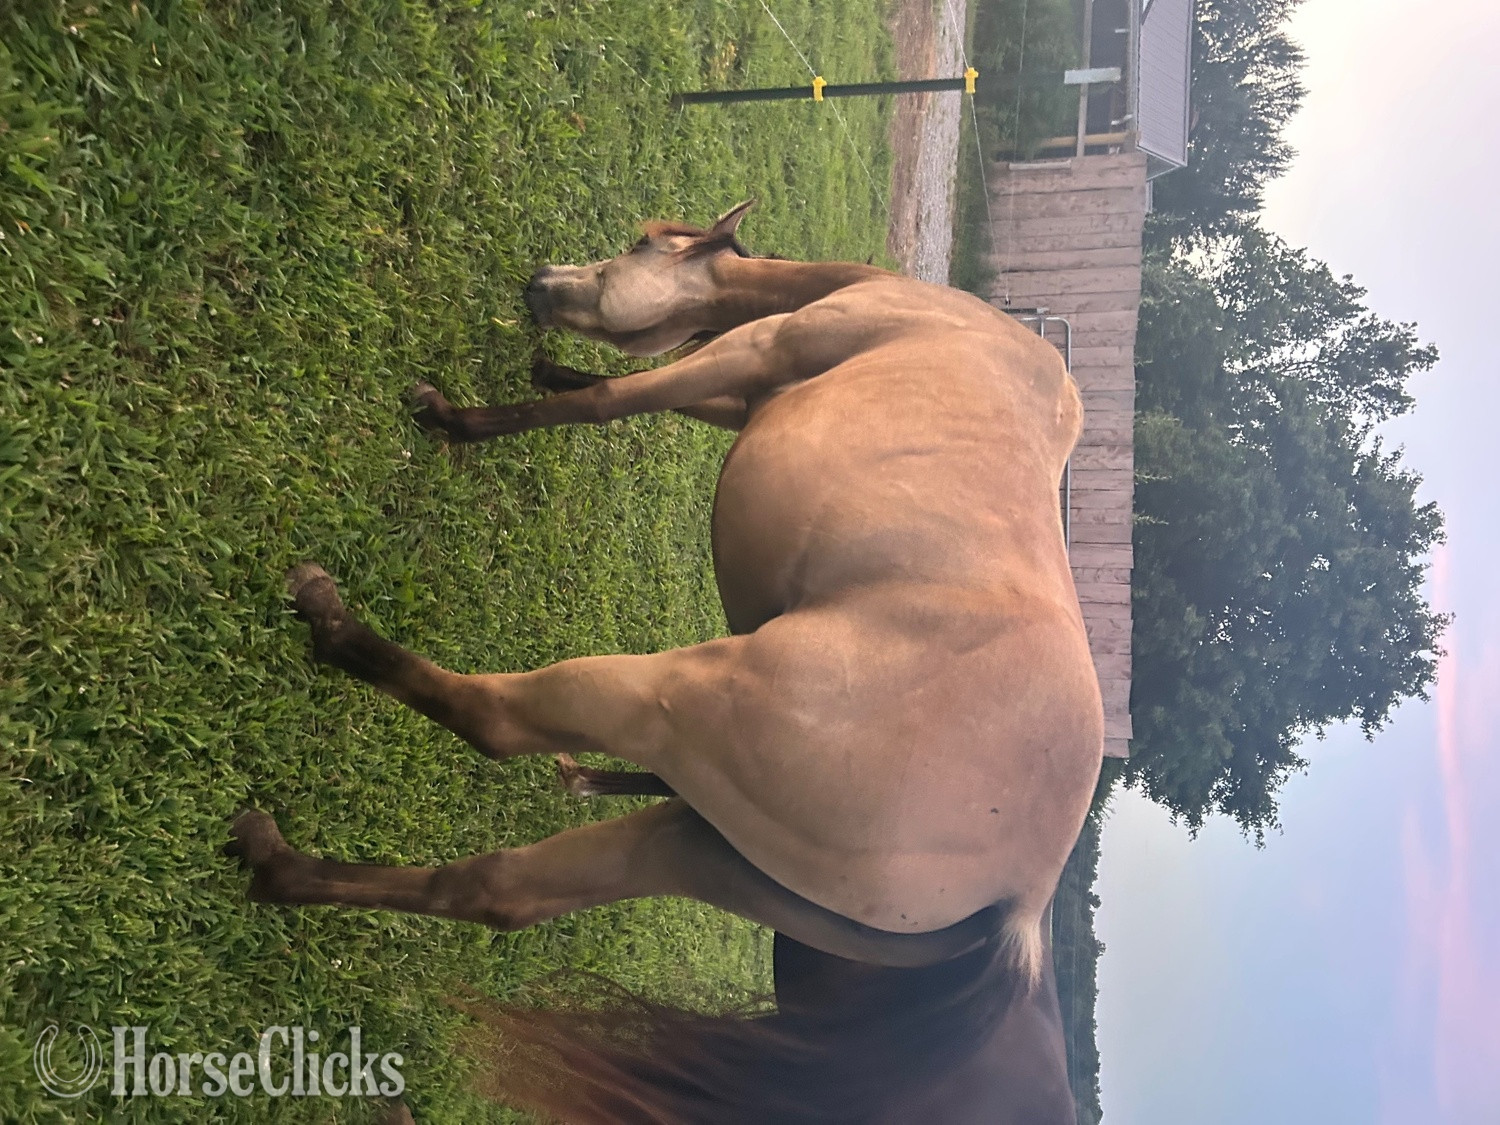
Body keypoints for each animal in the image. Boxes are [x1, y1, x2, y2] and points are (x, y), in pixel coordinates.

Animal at [229, 201, 1103, 1122]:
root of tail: (1021, 899)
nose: (541, 282)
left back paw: (330, 623)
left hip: (661, 699)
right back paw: (277, 865)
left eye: (636, 247)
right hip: (699, 848)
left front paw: (452, 417)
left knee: (496, 722)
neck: (917, 310)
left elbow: (607, 403)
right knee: (500, 889)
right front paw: (544, 367)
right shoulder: (741, 389)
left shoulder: (755, 351)